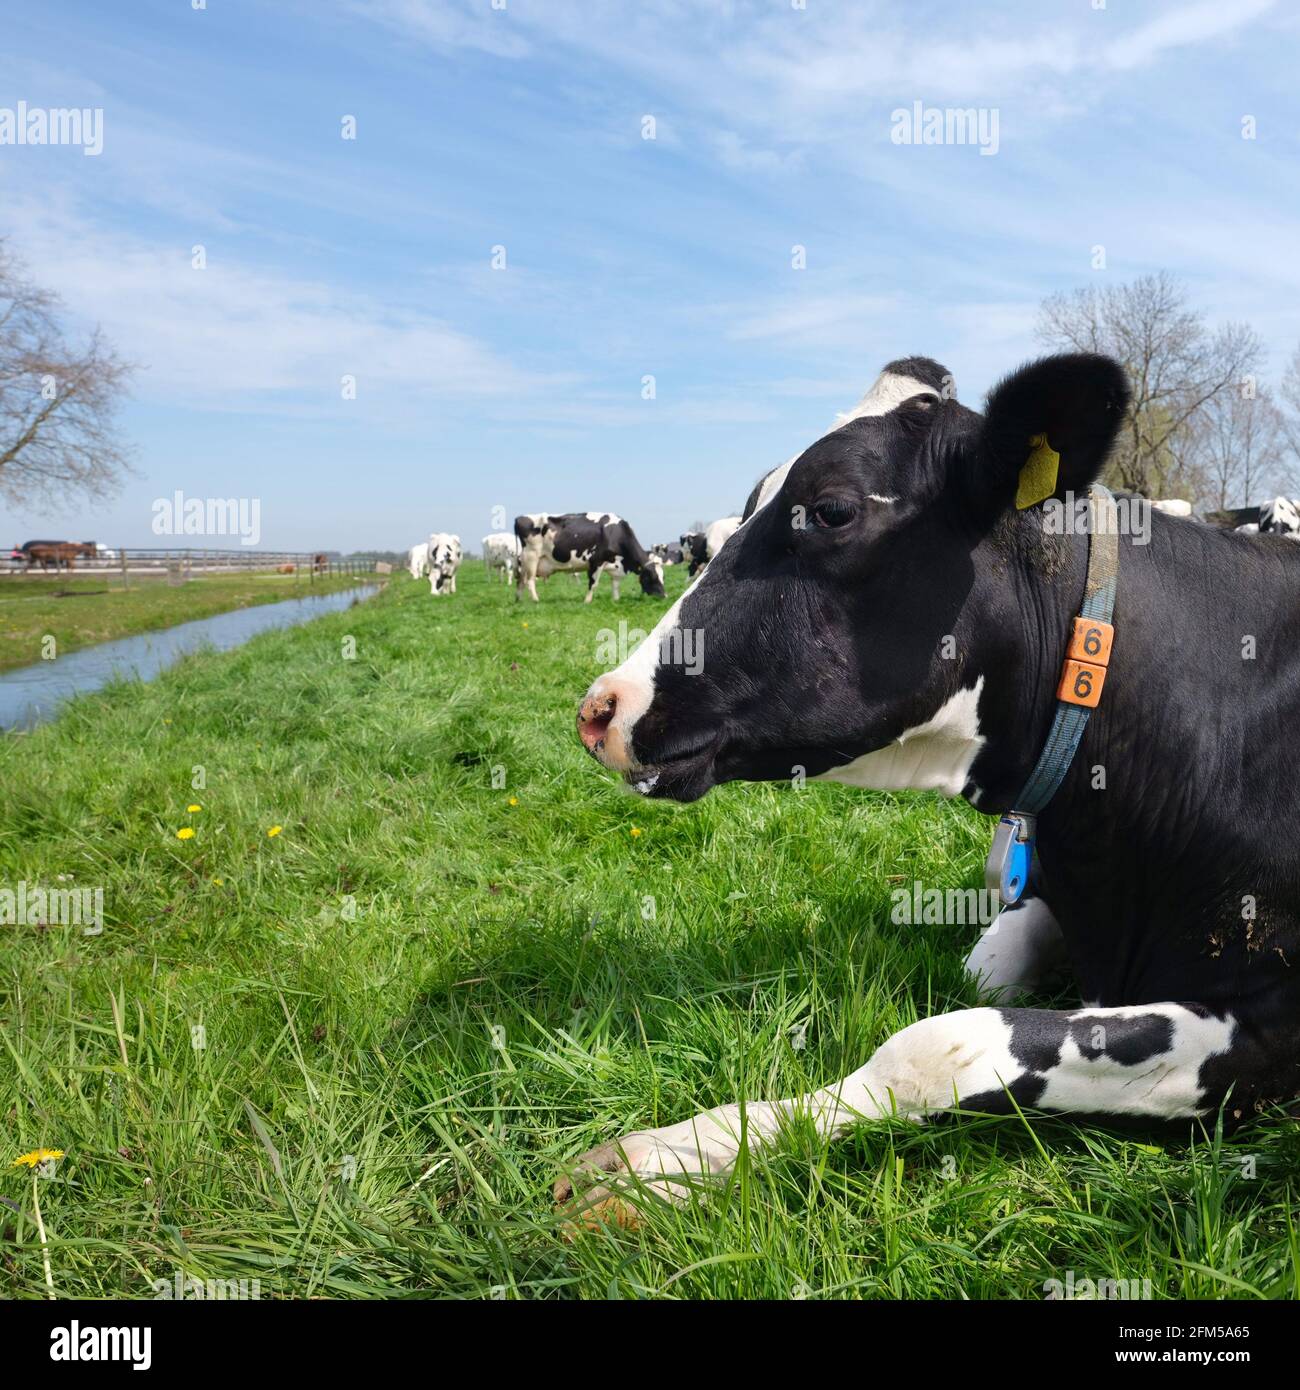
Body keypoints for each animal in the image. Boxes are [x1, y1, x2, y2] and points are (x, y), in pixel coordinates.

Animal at [513, 513, 665, 603]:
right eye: (652, 577)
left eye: (663, 576)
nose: (665, 596)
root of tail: (520, 517)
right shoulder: (596, 561)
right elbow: (593, 583)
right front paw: (587, 601)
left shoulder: (616, 566)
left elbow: (615, 585)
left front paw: (616, 600)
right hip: (532, 557)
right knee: (530, 581)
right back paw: (535, 600)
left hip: (524, 562)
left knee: (520, 581)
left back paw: (519, 600)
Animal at [557, 352, 1300, 1226]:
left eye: (832, 510)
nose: (600, 709)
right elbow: (981, 968)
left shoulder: (1269, 1022)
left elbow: (940, 1043)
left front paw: (663, 1160)